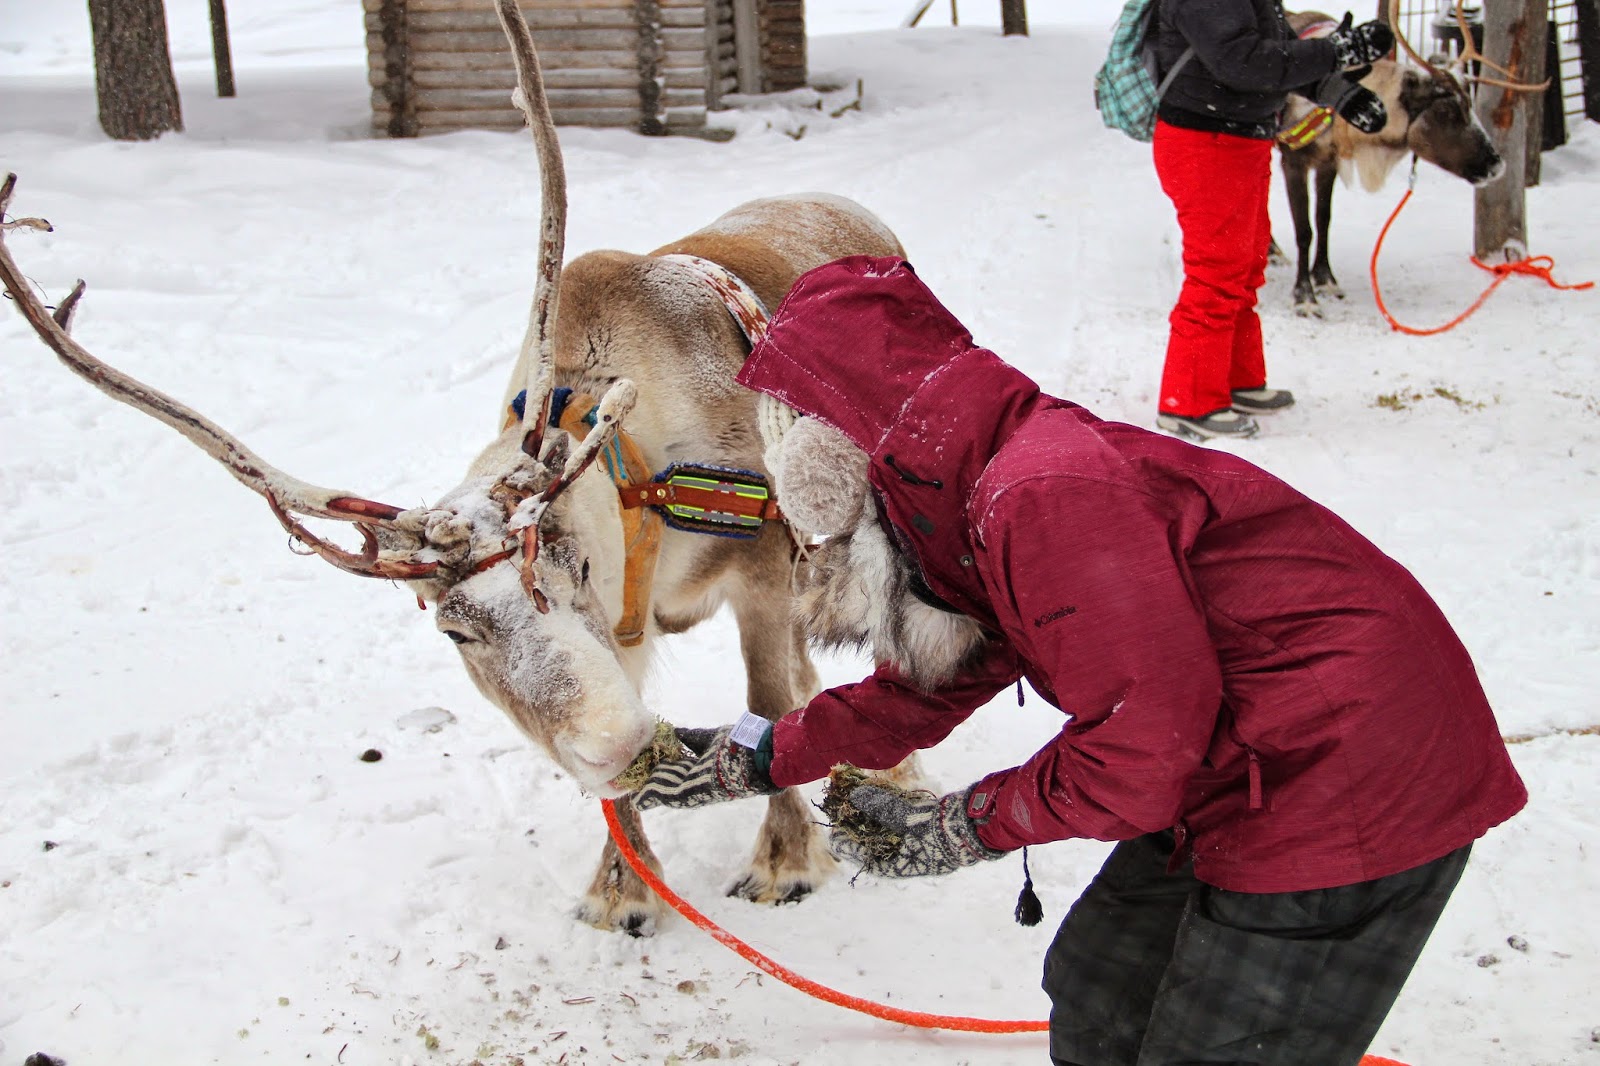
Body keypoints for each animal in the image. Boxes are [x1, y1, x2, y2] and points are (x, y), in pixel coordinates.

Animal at [0, 0, 906, 937]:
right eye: (453, 629)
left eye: (575, 566)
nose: (616, 737)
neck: (633, 465)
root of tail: (853, 211)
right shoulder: (629, 626)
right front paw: (620, 890)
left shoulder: (757, 569)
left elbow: (767, 703)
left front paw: (786, 863)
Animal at [1276, 2, 1531, 316]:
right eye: (1446, 112)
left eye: (1470, 104)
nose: (1496, 165)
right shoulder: (1294, 160)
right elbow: (1304, 231)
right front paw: (1305, 297)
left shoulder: (1329, 162)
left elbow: (1324, 219)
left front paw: (1326, 279)